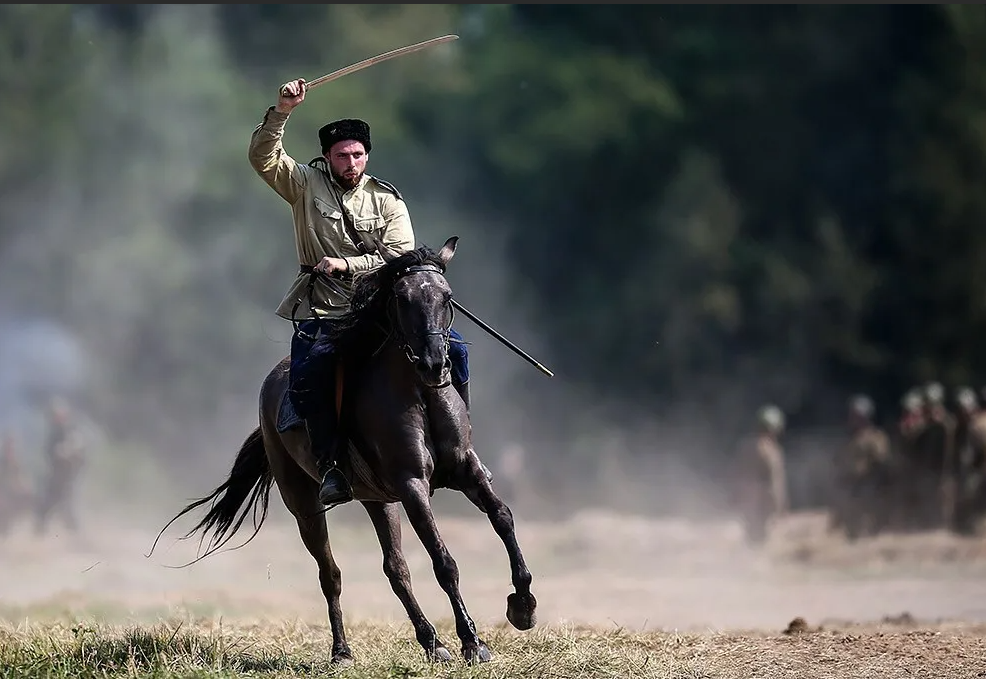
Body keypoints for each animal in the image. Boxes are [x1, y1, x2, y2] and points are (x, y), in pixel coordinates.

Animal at [153, 238, 536, 664]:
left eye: (446, 296)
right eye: (402, 298)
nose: (435, 363)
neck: (419, 394)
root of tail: (271, 386)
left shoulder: (465, 470)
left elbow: (503, 519)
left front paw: (523, 606)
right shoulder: (412, 485)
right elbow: (444, 561)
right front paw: (473, 641)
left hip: (378, 500)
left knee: (396, 570)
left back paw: (432, 642)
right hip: (304, 505)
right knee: (330, 573)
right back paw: (343, 650)